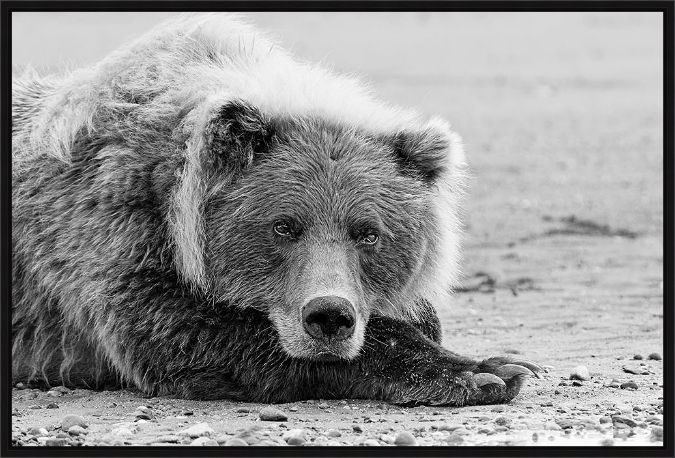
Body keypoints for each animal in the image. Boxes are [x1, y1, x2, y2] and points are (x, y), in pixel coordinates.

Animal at [13, 12, 544, 404]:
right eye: (284, 226)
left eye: (368, 232)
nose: (329, 316)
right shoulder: (111, 229)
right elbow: (181, 332)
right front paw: (485, 372)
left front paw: (496, 361)